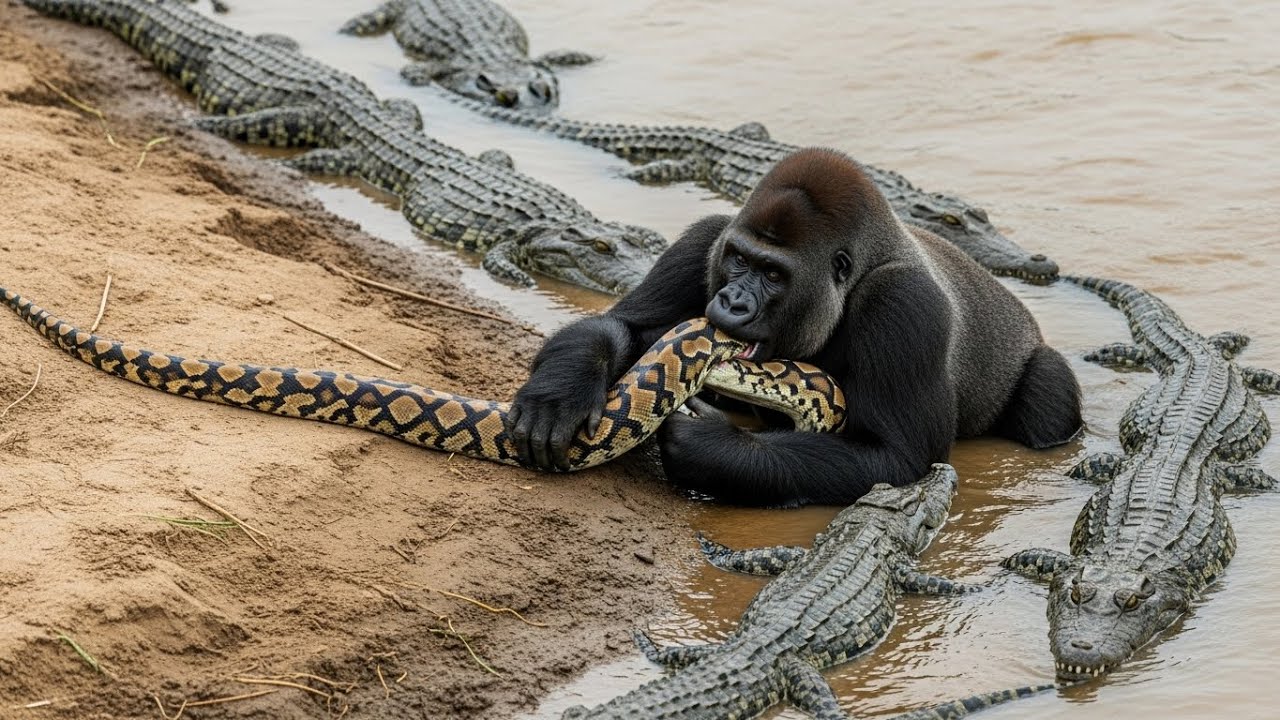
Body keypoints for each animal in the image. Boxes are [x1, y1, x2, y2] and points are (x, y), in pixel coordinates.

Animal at [506, 147, 1082, 506]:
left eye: (773, 274)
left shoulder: (905, 305)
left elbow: (898, 458)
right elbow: (623, 327)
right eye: (739, 260)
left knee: (1047, 392)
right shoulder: (709, 237)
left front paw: (713, 449)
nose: (731, 302)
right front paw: (559, 393)